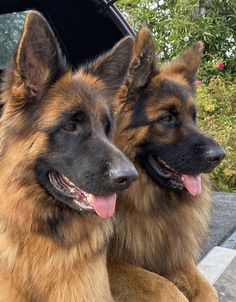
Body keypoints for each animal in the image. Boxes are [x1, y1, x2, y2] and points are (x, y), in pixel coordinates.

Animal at [108, 27, 226, 300]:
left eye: (194, 117)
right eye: (167, 118)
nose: (220, 156)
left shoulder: (172, 254)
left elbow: (207, 289)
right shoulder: (110, 264)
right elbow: (166, 288)